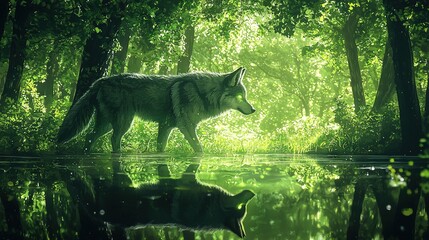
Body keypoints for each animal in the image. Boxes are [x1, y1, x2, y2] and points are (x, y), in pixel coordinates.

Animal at [56, 67, 254, 152]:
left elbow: (161, 147)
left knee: (90, 137)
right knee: (112, 139)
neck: (203, 93)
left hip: (107, 125)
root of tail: (100, 81)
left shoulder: (165, 126)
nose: (253, 109)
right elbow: (199, 148)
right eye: (241, 97)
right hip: (123, 123)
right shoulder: (186, 127)